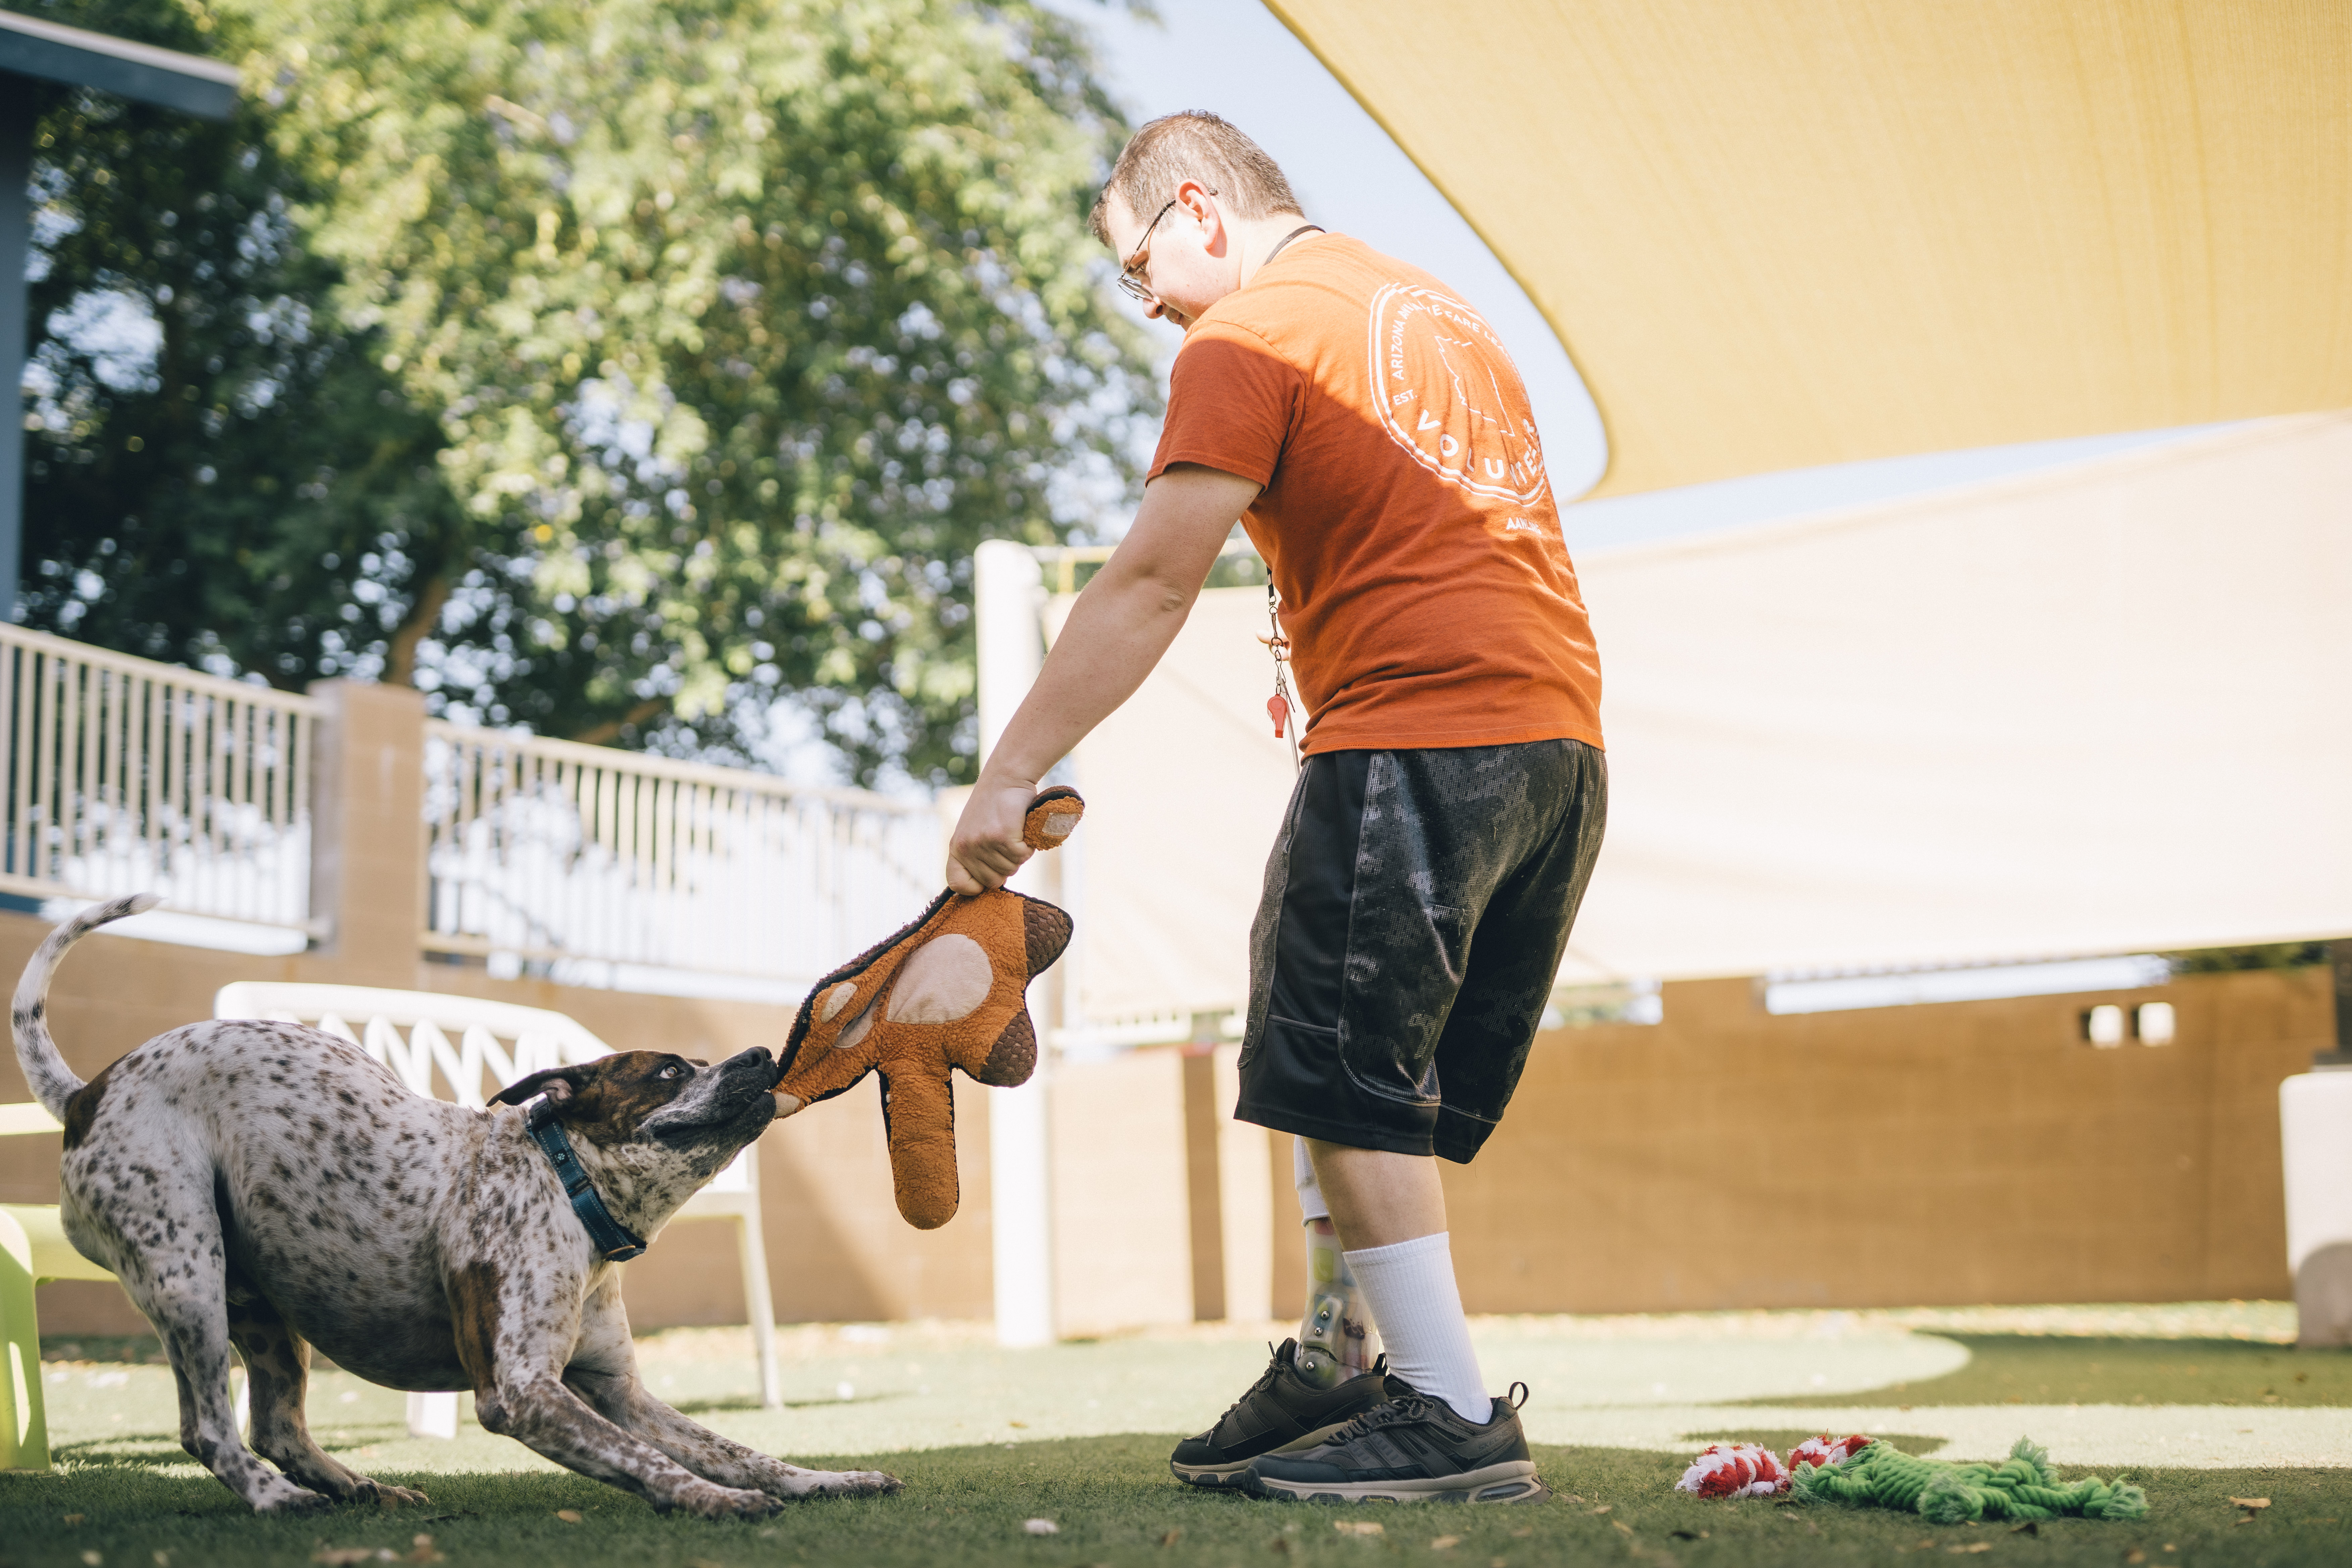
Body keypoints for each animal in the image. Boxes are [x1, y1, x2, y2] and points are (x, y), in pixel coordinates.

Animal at [16, 902, 898, 1514]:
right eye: (669, 1071)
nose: (760, 1052)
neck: (566, 1187)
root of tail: (86, 1093)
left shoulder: (618, 1391)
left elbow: (738, 1447)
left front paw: (826, 1478)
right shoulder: (522, 1390)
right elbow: (652, 1462)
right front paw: (716, 1499)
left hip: (266, 1311)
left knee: (276, 1427)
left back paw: (358, 1489)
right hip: (188, 1275)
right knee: (210, 1428)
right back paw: (276, 1499)